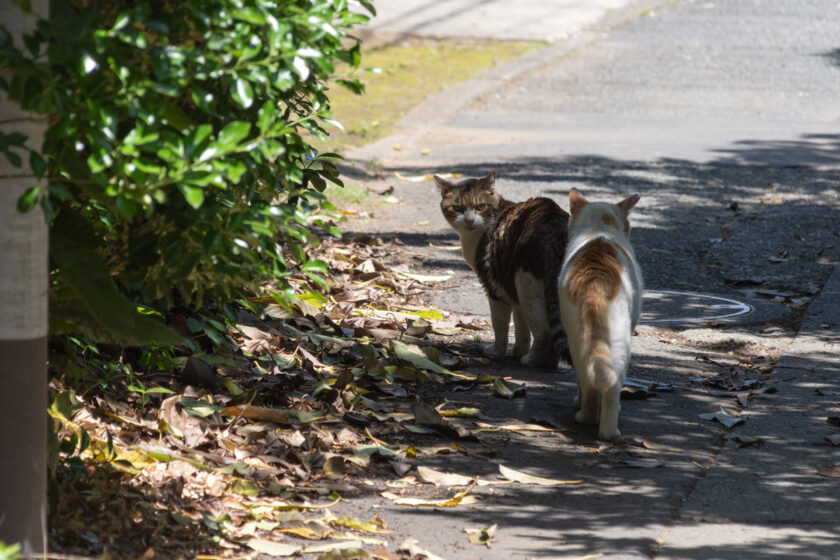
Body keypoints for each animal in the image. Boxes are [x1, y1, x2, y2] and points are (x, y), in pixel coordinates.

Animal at [434, 173, 572, 370]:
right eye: (457, 208)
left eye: (480, 207)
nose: (469, 220)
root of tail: (555, 226)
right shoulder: (510, 285)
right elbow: (521, 326)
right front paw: (518, 350)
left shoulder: (493, 285)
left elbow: (499, 325)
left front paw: (497, 351)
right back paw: (548, 363)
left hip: (526, 284)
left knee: (544, 332)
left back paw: (532, 360)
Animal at [556, 190, 644, 440]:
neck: (599, 228)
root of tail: (594, 284)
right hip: (620, 344)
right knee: (609, 387)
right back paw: (606, 429)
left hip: (577, 341)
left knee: (588, 379)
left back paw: (589, 418)